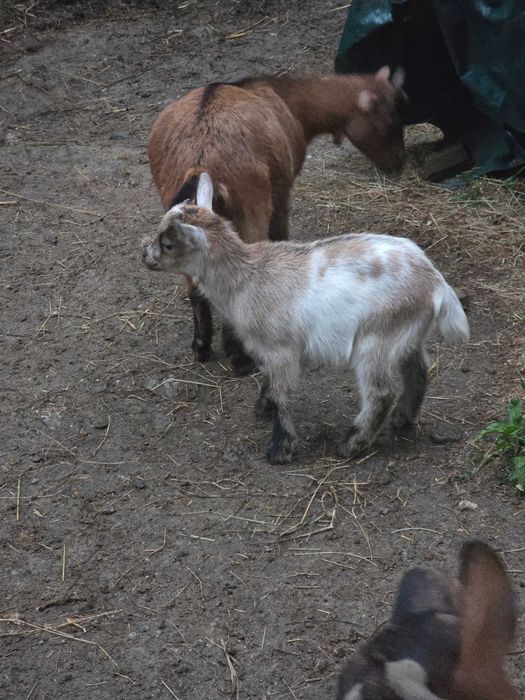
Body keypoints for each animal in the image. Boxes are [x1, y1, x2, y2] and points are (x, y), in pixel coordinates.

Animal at [143, 173, 468, 465]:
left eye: (168, 244)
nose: (145, 256)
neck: (244, 277)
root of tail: (434, 281)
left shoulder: (280, 348)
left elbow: (282, 393)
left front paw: (280, 448)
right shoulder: (268, 350)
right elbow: (270, 383)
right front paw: (263, 406)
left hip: (376, 339)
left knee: (380, 393)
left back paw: (350, 444)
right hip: (405, 334)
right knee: (418, 371)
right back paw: (402, 419)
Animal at [148, 67, 407, 374]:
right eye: (391, 121)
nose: (400, 164)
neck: (288, 101)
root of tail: (200, 159)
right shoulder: (281, 194)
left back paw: (201, 346)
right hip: (252, 211)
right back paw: (241, 358)